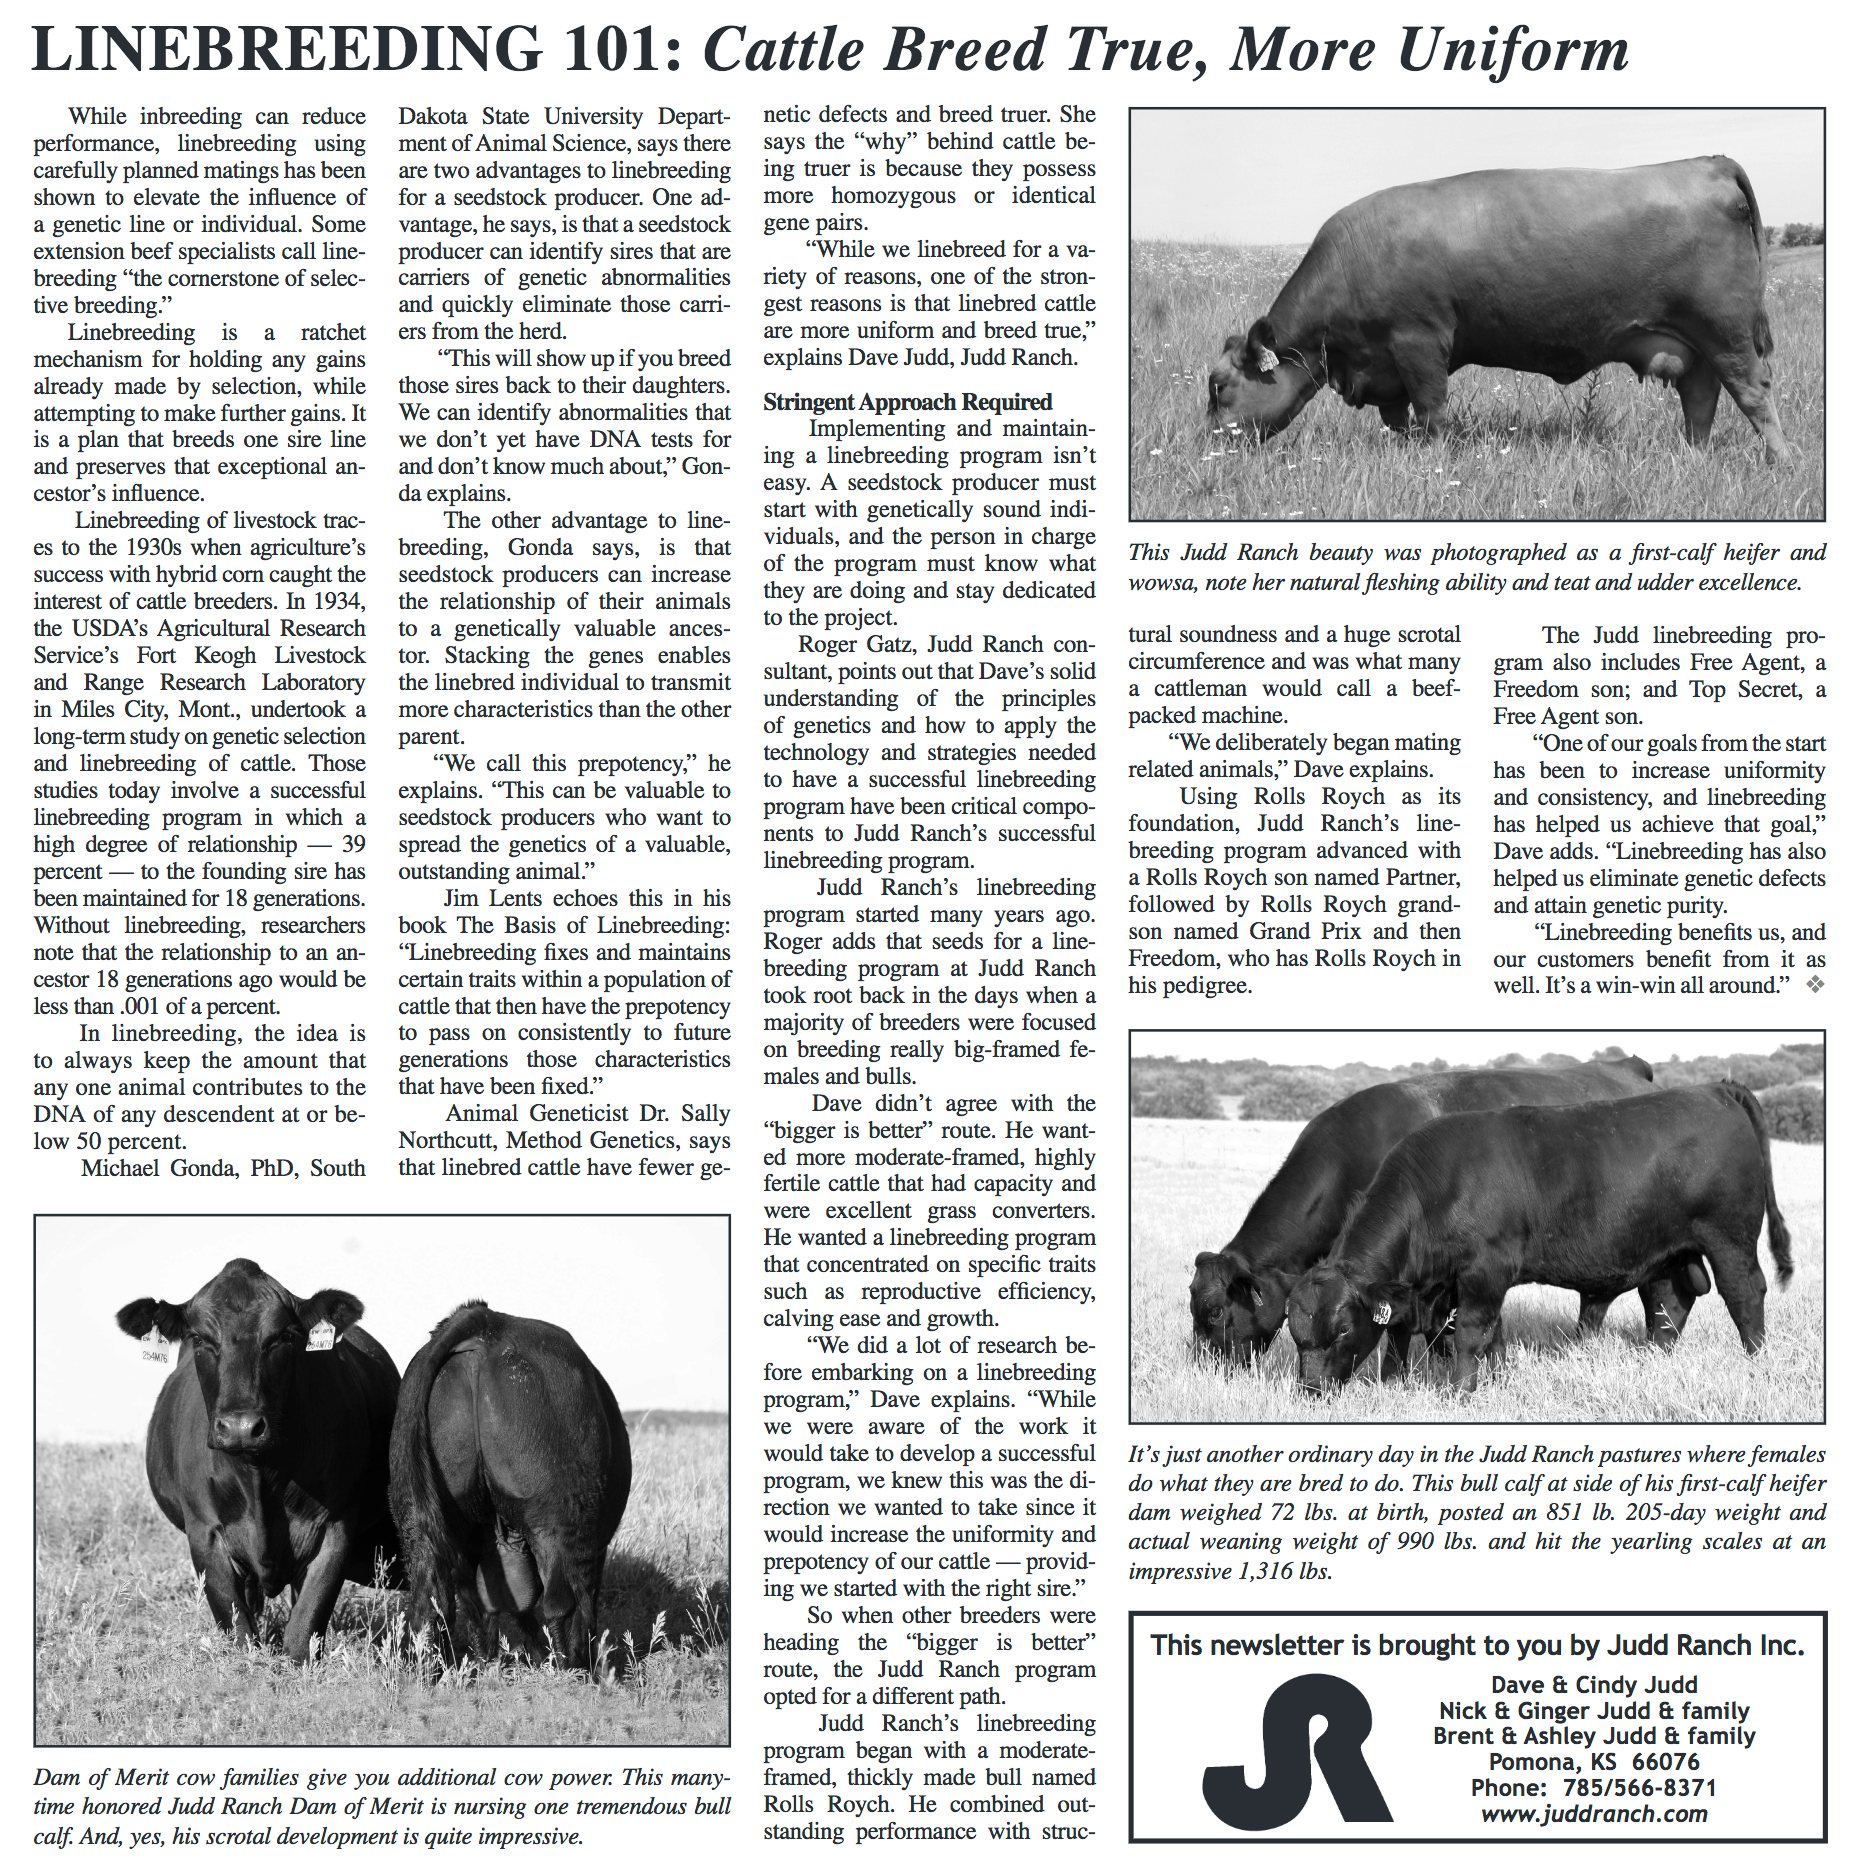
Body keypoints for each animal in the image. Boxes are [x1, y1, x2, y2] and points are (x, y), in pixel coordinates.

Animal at [114, 1259, 400, 1662]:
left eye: (282, 1337)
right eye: (200, 1339)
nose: (241, 1428)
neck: (260, 1477)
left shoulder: (335, 1528)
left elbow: (303, 1630)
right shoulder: (205, 1534)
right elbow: (239, 1630)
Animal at [390, 1303, 630, 1672]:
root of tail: (490, 1323)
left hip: (422, 1514)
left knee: (435, 1600)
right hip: (560, 1519)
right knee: (563, 1600)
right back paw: (574, 1669)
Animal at [1207, 158, 1788, 461]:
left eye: (1219, 387)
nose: (1206, 445)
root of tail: (1706, 163)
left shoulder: (1417, 342)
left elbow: (1432, 410)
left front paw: (1435, 462)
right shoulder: (1383, 363)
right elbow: (1399, 420)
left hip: (1726, 332)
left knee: (1753, 392)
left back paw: (1779, 461)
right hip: (1697, 343)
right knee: (1702, 397)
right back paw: (1692, 456)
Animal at [1286, 1082, 1793, 1395]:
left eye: (1344, 1328)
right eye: (1294, 1331)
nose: (1311, 1389)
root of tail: (1715, 1088)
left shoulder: (1484, 1272)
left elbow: (1471, 1334)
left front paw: (1460, 1391)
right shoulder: (1459, 1284)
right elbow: (1484, 1337)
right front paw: (1492, 1381)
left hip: (1728, 1237)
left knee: (1744, 1293)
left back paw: (1756, 1361)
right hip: (1670, 1251)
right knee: (1671, 1302)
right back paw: (1653, 1360)